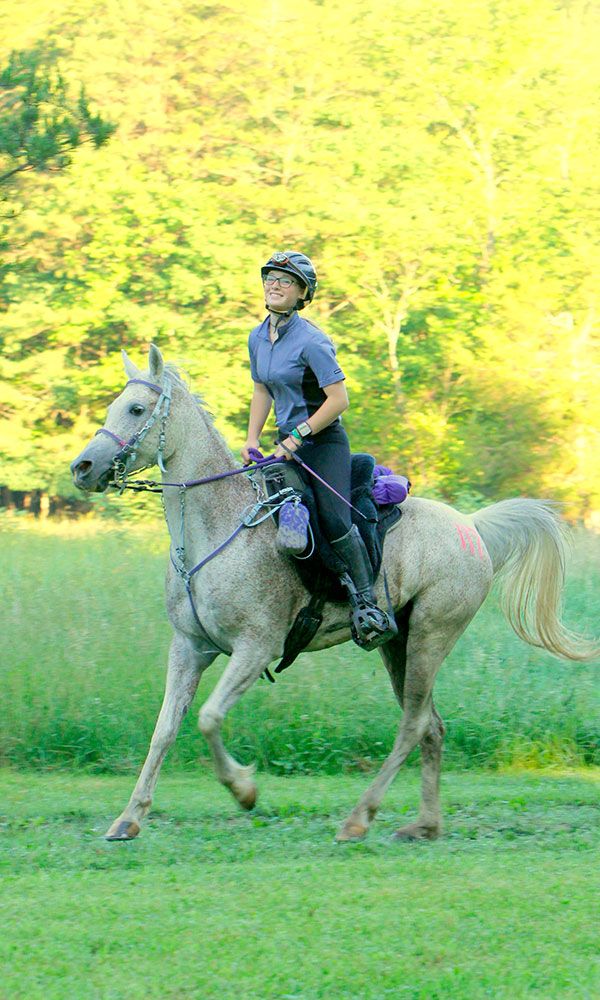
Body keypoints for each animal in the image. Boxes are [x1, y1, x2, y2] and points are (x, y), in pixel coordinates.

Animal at [71, 348, 600, 840]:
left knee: (413, 725)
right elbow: (165, 730)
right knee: (431, 725)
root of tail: (471, 526)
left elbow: (208, 718)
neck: (219, 527)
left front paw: (244, 790)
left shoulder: (254, 648)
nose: (82, 467)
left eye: (136, 409)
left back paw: (358, 819)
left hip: (432, 634)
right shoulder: (189, 648)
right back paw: (424, 825)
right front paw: (128, 819)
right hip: (398, 642)